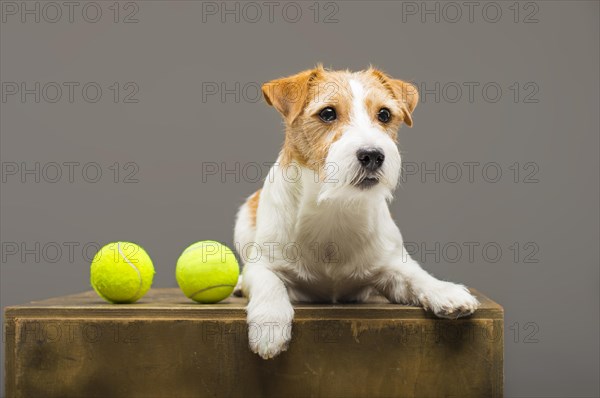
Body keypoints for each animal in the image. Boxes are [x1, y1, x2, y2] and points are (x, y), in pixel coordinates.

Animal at [233, 66, 478, 360]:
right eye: (327, 113)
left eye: (384, 114)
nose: (373, 155)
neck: (335, 207)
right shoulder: (263, 264)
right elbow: (269, 282)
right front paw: (270, 324)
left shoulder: (392, 264)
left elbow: (416, 275)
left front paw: (444, 290)